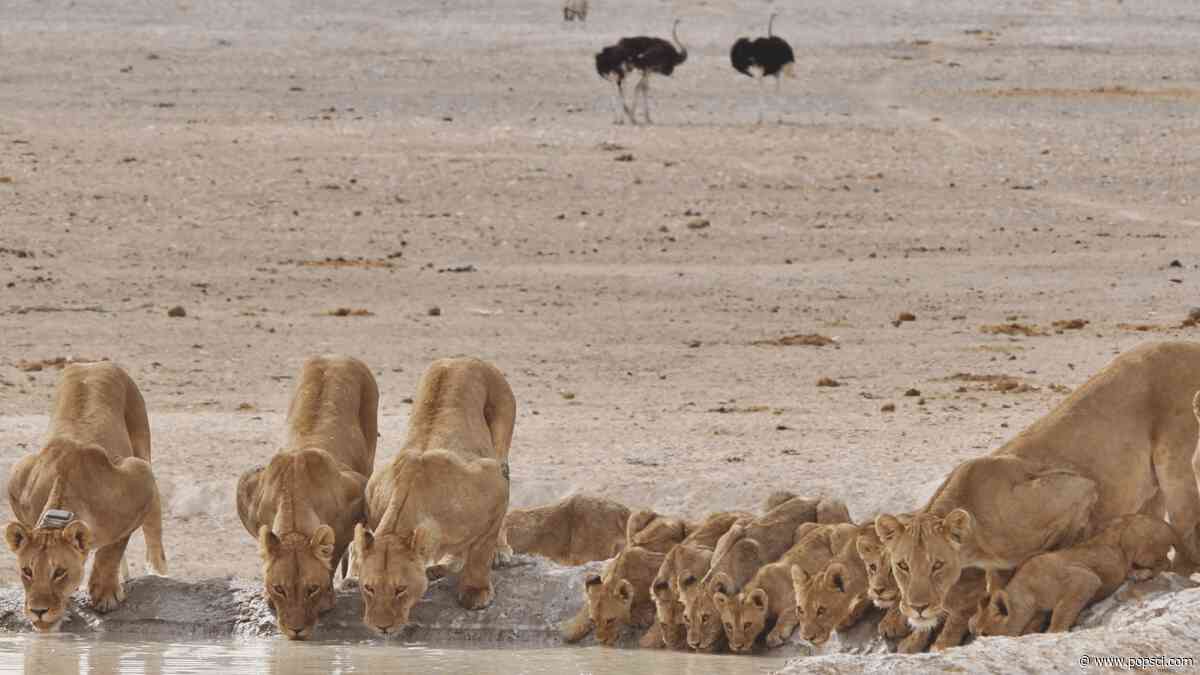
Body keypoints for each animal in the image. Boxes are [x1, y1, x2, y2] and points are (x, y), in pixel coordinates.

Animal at [5, 363, 167, 631]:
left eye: (59, 572)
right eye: (27, 571)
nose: (38, 611)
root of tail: (94, 363)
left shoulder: (138, 476)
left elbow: (113, 547)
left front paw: (105, 593)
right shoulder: (19, 476)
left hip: (142, 445)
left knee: (154, 522)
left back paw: (158, 572)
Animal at [236, 355, 378, 640]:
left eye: (311, 589)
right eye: (279, 588)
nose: (296, 631)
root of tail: (337, 356)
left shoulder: (357, 491)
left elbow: (334, 551)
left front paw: (328, 598)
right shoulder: (248, 486)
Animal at [354, 357, 515, 635]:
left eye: (400, 589)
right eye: (369, 588)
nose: (381, 627)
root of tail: (463, 358)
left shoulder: (494, 483)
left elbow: (480, 552)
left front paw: (476, 591)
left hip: (501, 442)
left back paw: (499, 552)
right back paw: (441, 565)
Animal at [970, 514, 1177, 637]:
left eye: (985, 634)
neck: (1027, 591)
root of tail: (1168, 525)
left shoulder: (1084, 579)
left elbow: (1062, 610)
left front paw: (1054, 631)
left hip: (1135, 542)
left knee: (1166, 563)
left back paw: (1139, 574)